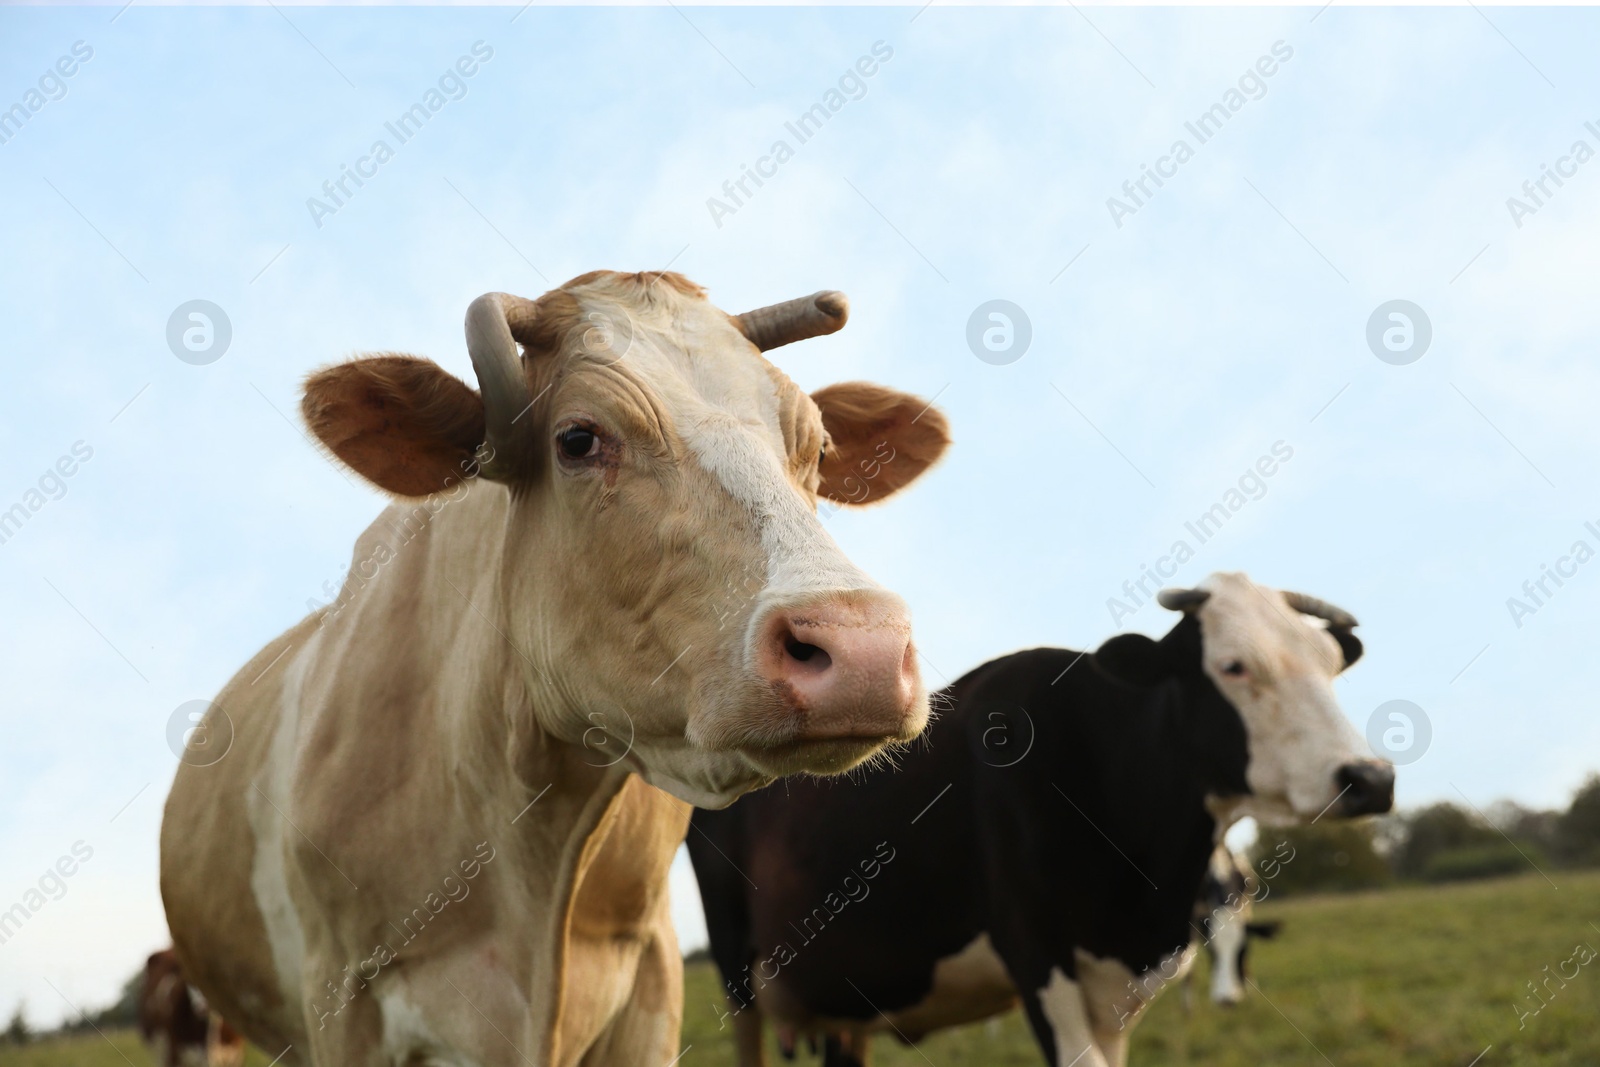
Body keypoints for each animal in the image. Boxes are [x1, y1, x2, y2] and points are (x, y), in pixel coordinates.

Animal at [688, 575, 1388, 1067]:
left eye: (1330, 664)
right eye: (1234, 666)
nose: (1372, 778)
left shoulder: (1116, 992)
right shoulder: (1037, 958)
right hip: (737, 979)